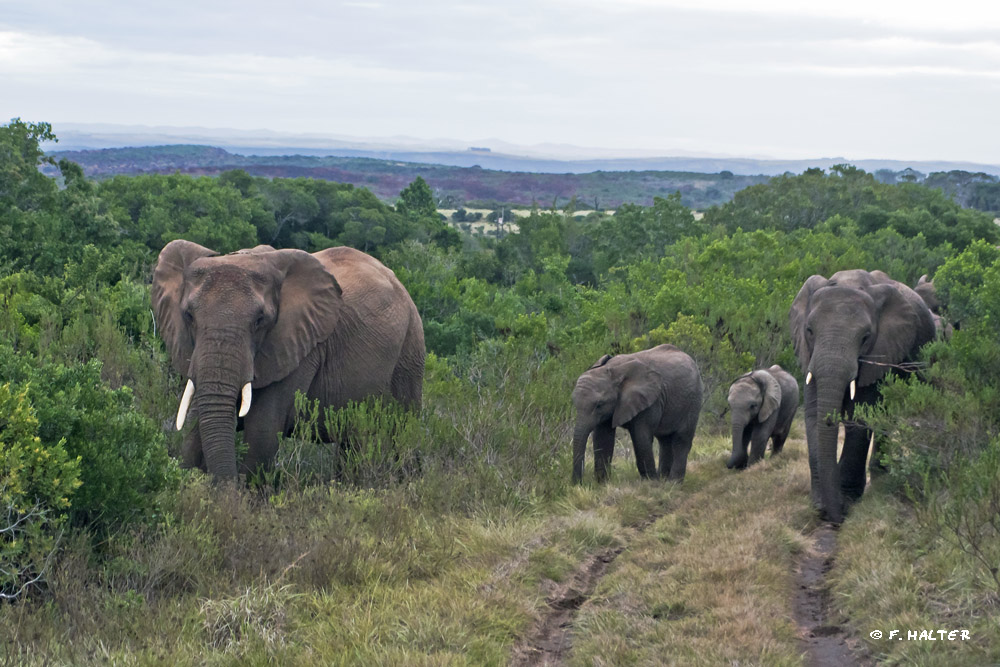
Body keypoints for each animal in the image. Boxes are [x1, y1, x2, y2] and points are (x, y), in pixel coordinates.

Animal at [150, 241, 424, 480]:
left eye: (260, 320)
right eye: (188, 316)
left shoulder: (302, 348)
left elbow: (262, 433)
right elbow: (194, 429)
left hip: (410, 351)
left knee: (402, 434)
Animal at [572, 348, 704, 482]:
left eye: (599, 404)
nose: (578, 484)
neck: (613, 370)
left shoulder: (650, 401)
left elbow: (641, 437)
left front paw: (651, 482)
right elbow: (602, 437)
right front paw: (602, 483)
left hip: (693, 401)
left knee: (681, 439)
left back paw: (673, 482)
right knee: (664, 440)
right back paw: (664, 478)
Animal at [788, 268, 936, 524]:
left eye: (866, 337)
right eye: (809, 331)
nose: (833, 516)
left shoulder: (880, 352)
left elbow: (860, 416)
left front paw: (846, 501)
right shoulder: (809, 354)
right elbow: (814, 413)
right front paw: (820, 505)